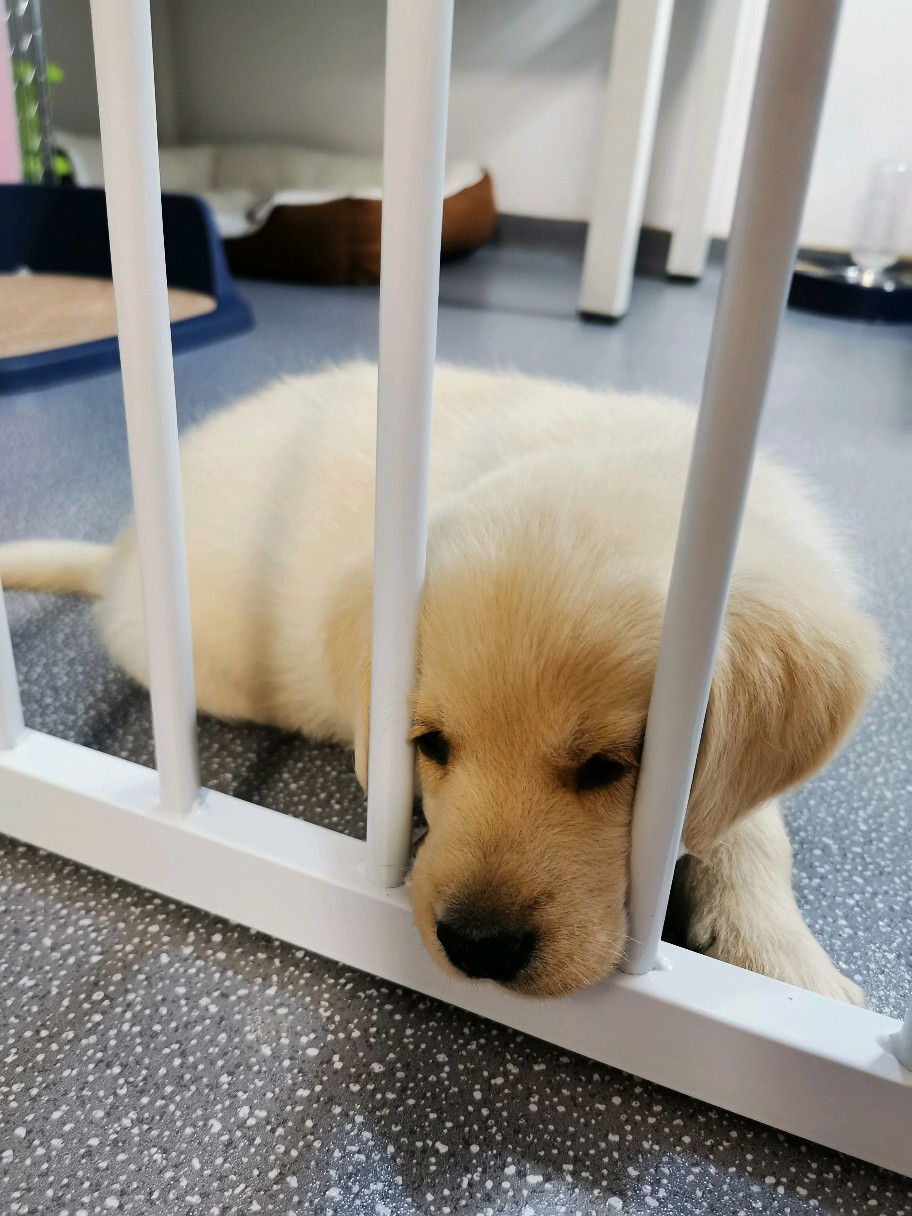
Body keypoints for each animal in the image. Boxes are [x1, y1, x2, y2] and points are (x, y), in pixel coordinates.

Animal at [0, 362, 884, 1003]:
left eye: (608, 767)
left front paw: (786, 962)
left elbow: (745, 828)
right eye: (429, 744)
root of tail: (120, 556)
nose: (477, 946)